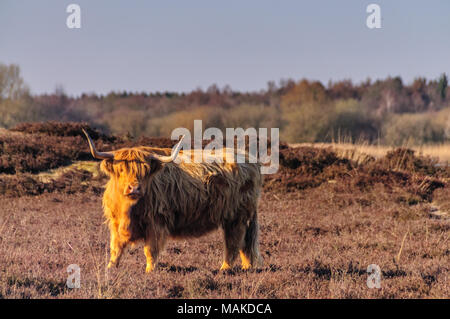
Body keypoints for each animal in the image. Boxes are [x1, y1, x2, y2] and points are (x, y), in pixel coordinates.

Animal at [82, 129, 262, 272]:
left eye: (145, 171)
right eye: (120, 170)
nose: (134, 188)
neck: (129, 209)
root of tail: (248, 158)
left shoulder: (156, 223)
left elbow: (150, 250)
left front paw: (149, 272)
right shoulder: (116, 223)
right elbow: (115, 248)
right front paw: (110, 269)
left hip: (237, 217)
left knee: (233, 244)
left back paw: (224, 270)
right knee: (245, 245)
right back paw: (247, 268)